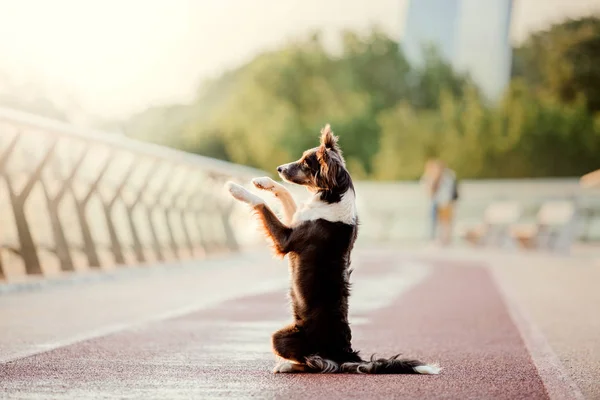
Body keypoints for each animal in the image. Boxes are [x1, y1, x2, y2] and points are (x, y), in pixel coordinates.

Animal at [225, 124, 440, 376]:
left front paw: (235, 188)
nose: (280, 168)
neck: (333, 195)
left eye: (305, 163)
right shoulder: (294, 221)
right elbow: (285, 193)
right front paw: (263, 181)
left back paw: (286, 365)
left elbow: (262, 204)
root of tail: (345, 353)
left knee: (318, 363)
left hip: (280, 337)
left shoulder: (286, 239)